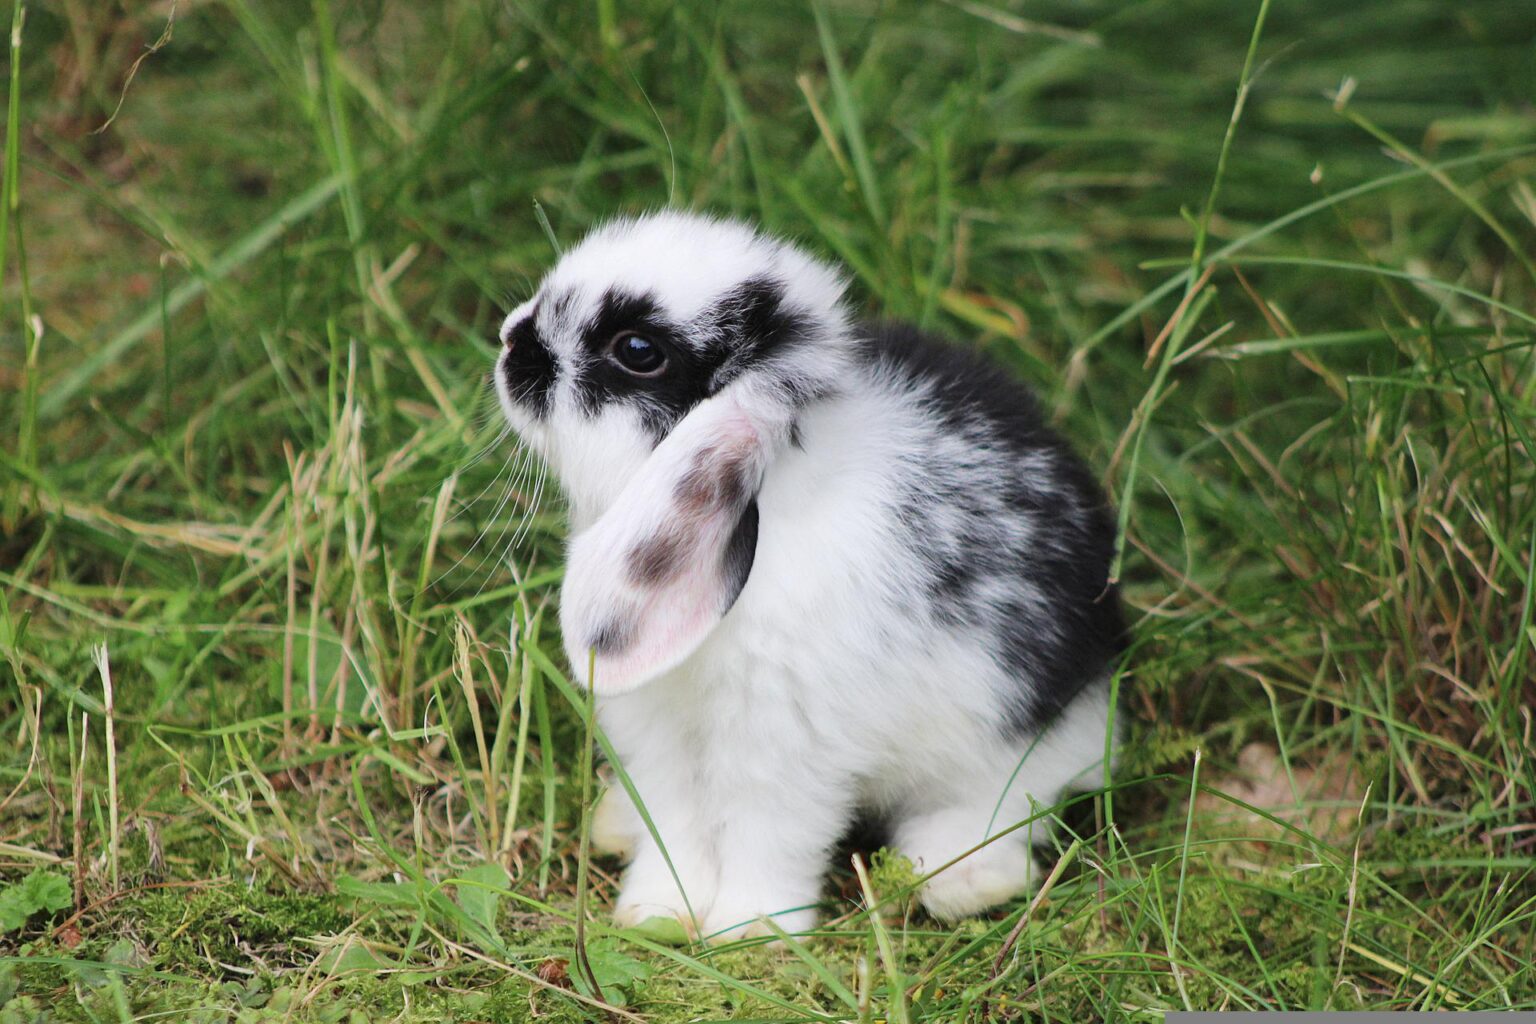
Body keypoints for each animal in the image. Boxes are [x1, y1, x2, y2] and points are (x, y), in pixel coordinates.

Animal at [491, 211, 1125, 942]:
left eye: (638, 350)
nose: (511, 339)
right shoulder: (661, 741)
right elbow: (676, 828)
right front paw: (657, 915)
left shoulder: (785, 748)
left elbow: (768, 837)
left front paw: (751, 930)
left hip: (1012, 739)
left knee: (1005, 809)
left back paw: (960, 882)